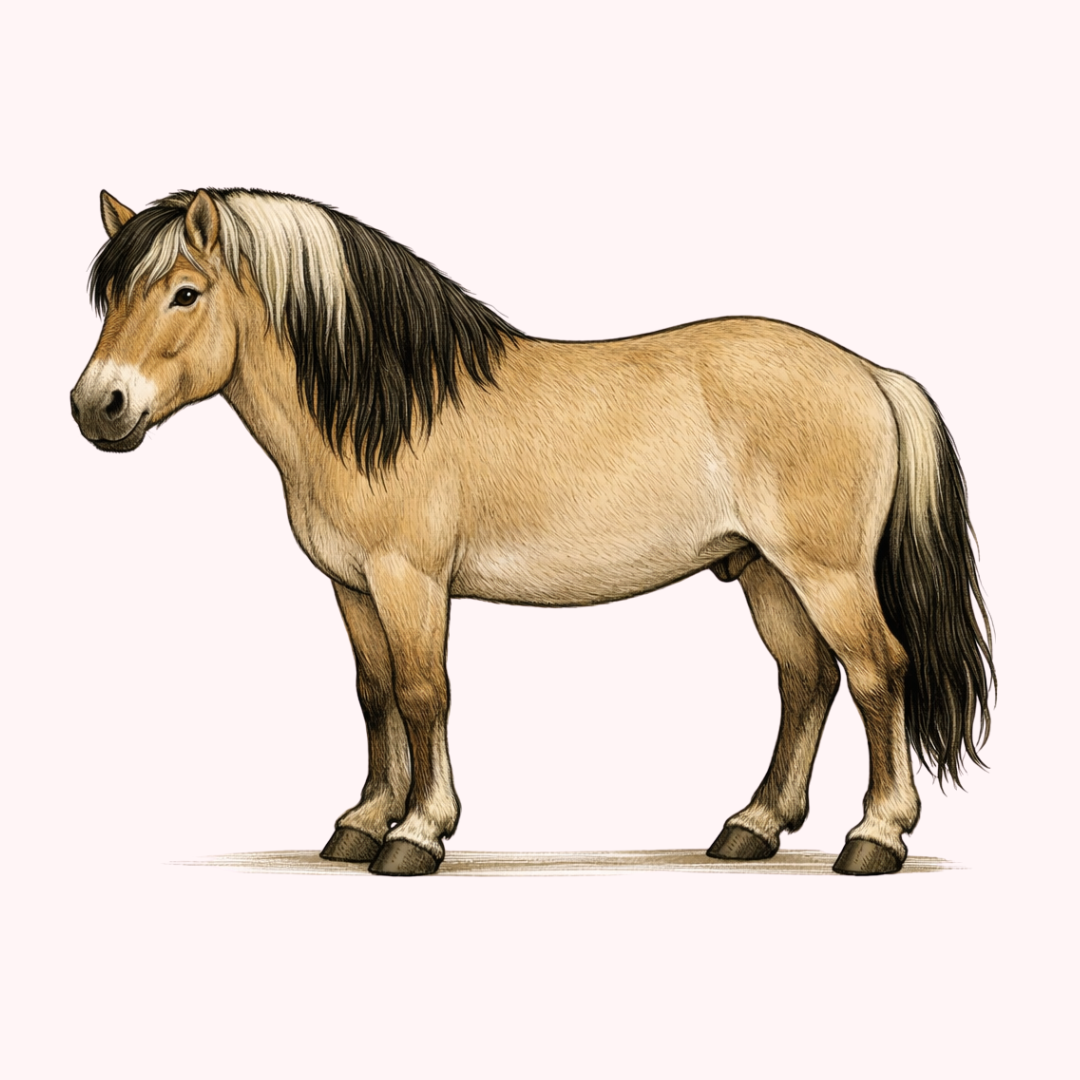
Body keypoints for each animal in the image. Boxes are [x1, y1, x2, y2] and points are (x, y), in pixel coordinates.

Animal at [71, 188, 994, 876]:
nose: (97, 406)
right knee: (806, 681)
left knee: (877, 673)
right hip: (764, 572)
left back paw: (874, 837)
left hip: (825, 572)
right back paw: (752, 827)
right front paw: (362, 823)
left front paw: (417, 835)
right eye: (111, 297)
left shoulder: (411, 579)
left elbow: (423, 693)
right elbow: (373, 695)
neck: (387, 410)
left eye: (185, 293)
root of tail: (871, 375)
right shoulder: (353, 584)